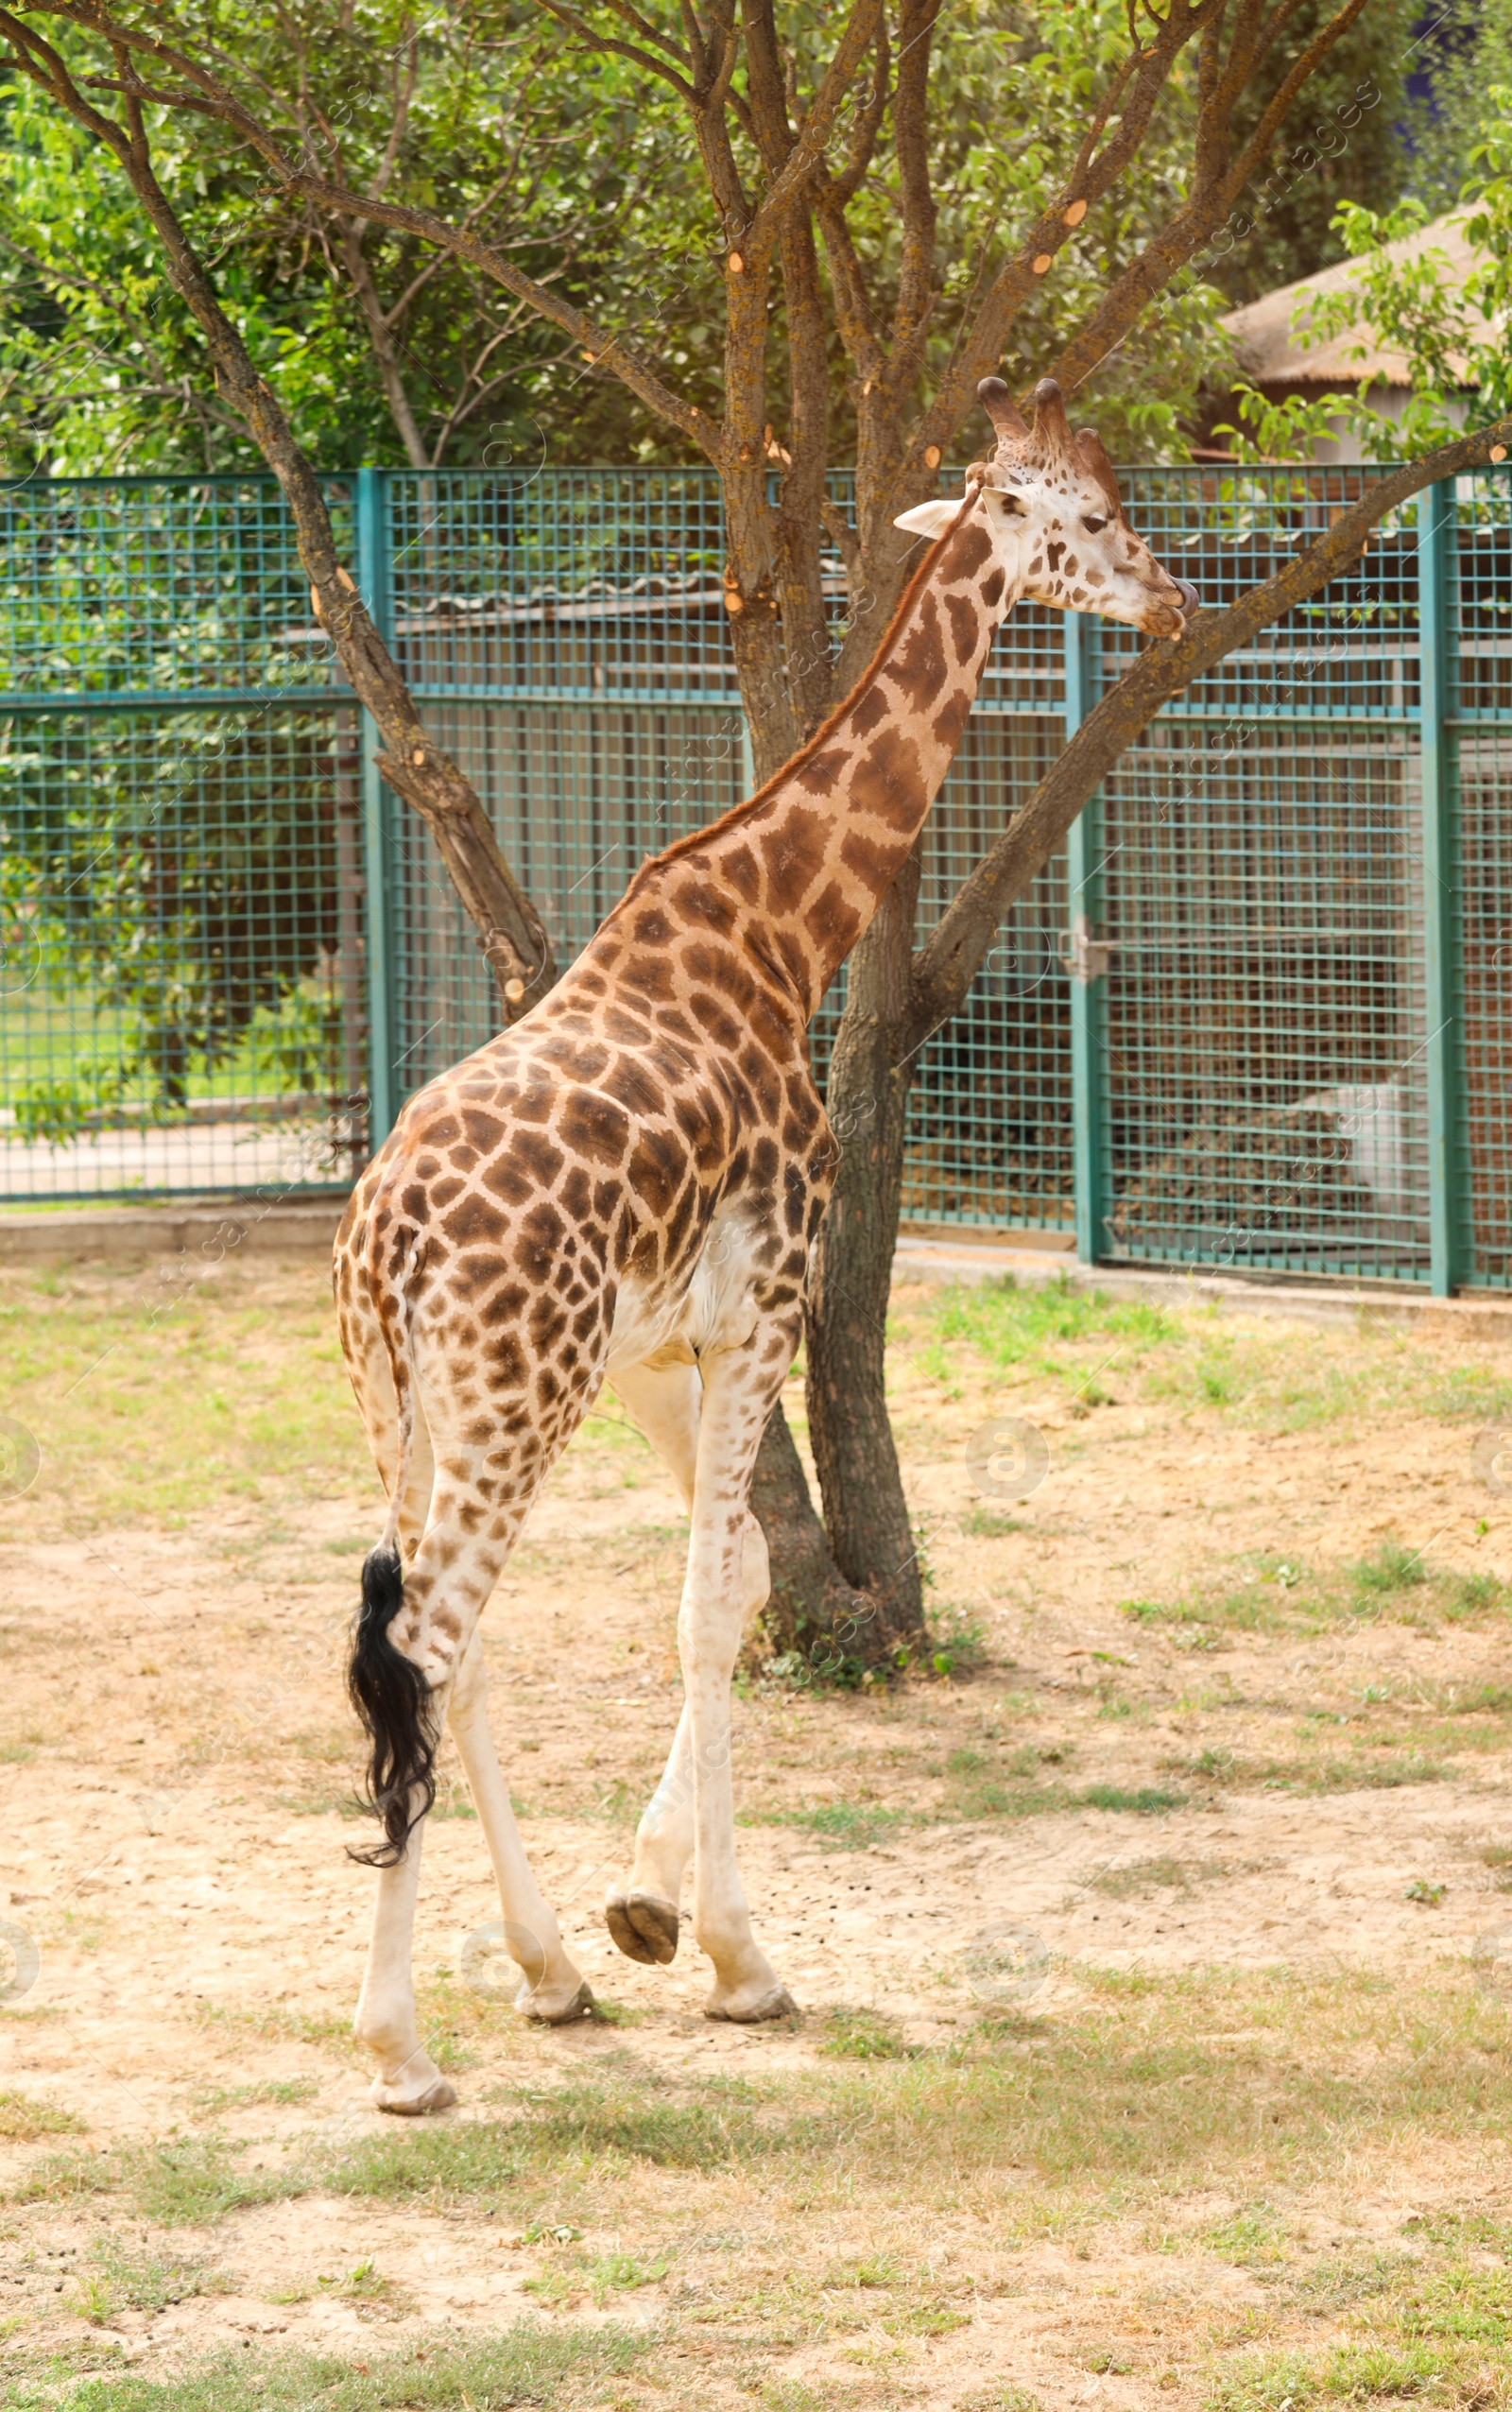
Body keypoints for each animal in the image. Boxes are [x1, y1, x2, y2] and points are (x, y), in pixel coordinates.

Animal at [335, 371, 1205, 2112]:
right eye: (1083, 518)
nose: (1173, 595)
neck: (782, 929)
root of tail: (385, 1242)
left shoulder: (661, 1351)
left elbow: (735, 1571)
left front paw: (653, 1918)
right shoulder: (767, 1309)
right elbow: (698, 1602)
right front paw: (724, 1949)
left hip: (412, 1408)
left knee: (447, 1649)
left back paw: (541, 1977)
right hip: (512, 1401)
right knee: (432, 1633)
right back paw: (399, 2049)